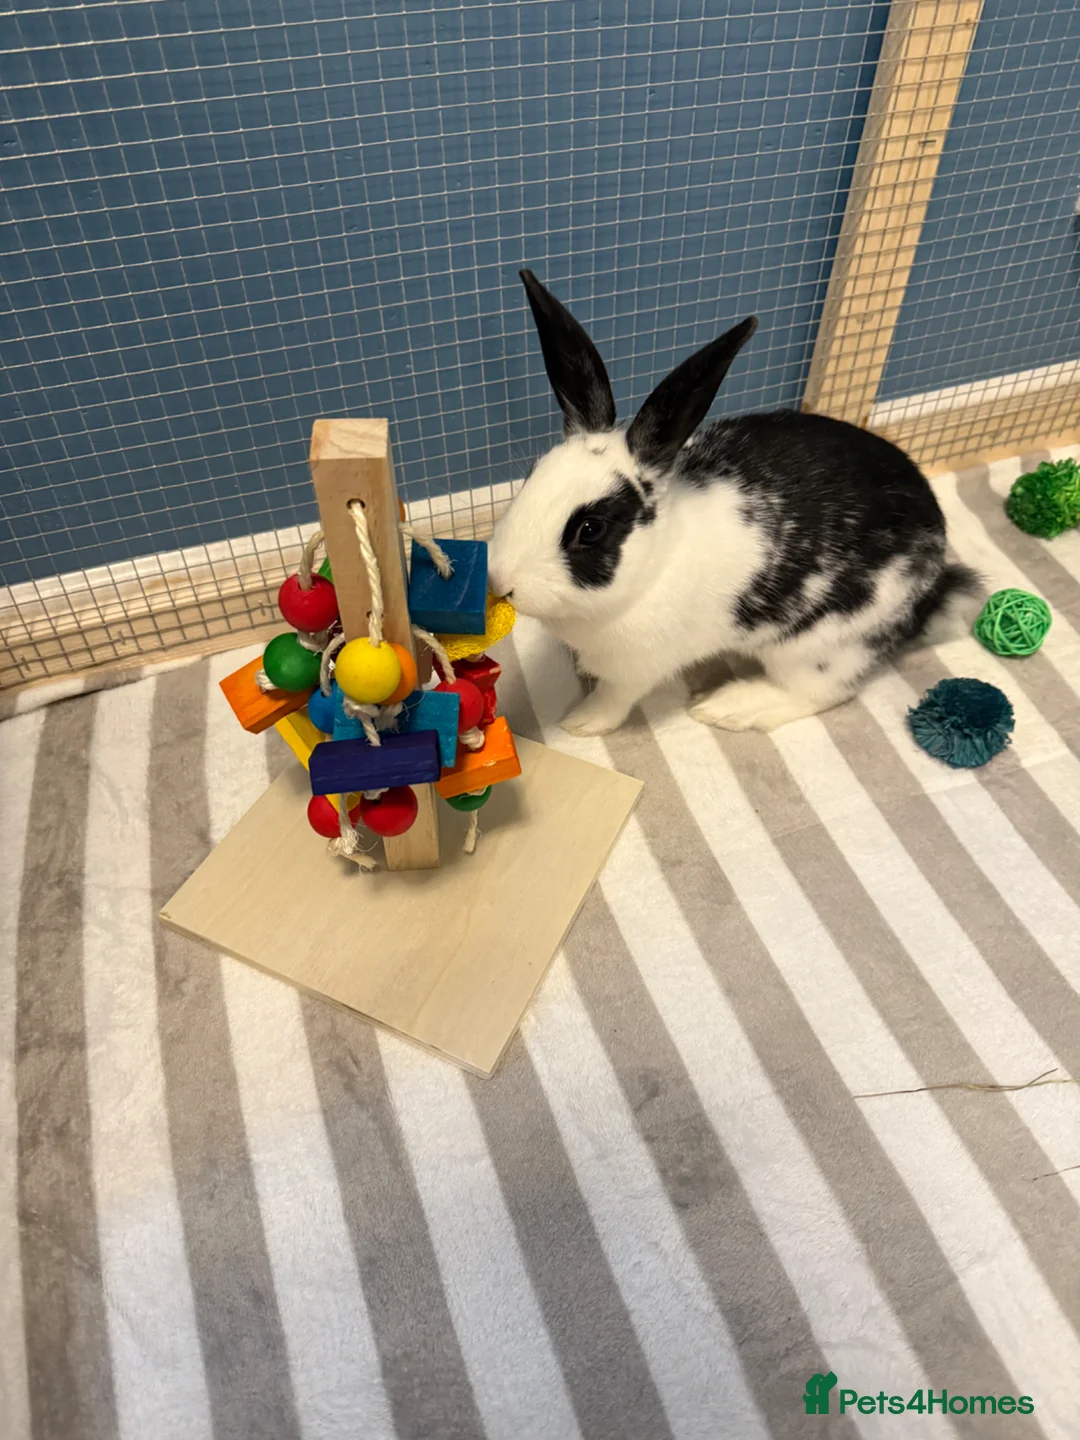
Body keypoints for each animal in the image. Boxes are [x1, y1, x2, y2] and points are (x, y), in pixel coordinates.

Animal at [487, 270, 977, 737]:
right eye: (530, 478)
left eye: (590, 530)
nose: (500, 582)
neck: (654, 567)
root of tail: (931, 591)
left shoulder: (636, 668)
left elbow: (614, 698)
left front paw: (581, 723)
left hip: (819, 648)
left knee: (822, 694)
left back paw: (727, 706)